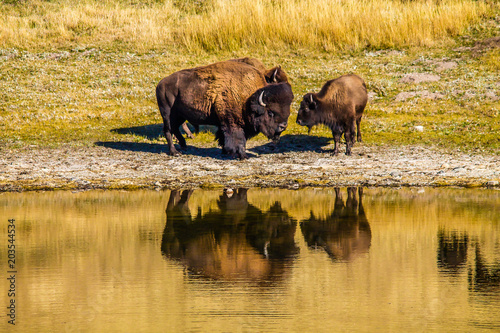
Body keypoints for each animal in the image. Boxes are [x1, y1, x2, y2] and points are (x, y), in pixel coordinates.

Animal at [156, 60, 292, 158]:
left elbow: (223, 136)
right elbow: (238, 139)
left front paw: (226, 151)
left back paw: (184, 146)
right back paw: (174, 152)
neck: (248, 96)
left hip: (180, 116)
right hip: (167, 113)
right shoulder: (233, 123)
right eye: (270, 112)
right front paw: (242, 155)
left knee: (175, 128)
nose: (283, 126)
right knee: (168, 130)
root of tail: (160, 84)